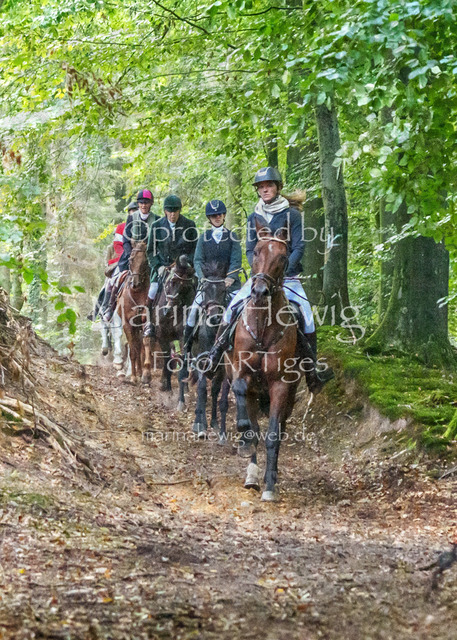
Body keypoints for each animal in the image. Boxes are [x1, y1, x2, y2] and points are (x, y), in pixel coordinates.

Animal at [144, 255, 195, 409]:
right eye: (172, 282)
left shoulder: (184, 338)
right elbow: (167, 361)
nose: (167, 311)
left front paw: (181, 401)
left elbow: (182, 366)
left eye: (186, 287)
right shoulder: (163, 336)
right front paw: (168, 391)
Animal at [225, 218, 306, 501]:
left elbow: (272, 436)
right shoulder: (240, 370)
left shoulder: (280, 385)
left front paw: (270, 485)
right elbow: (250, 423)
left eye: (282, 256)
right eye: (257, 252)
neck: (262, 328)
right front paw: (243, 433)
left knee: (279, 430)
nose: (259, 291)